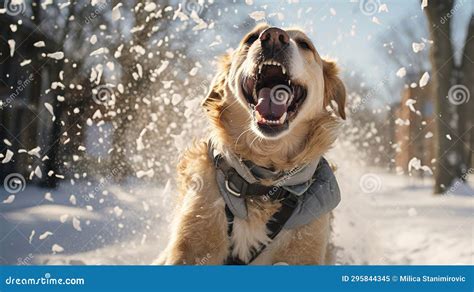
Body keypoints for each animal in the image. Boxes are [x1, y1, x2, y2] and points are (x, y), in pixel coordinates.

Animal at [157, 24, 346, 266]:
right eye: (251, 38)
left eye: (305, 44)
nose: (274, 36)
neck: (263, 184)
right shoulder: (192, 243)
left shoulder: (304, 248)